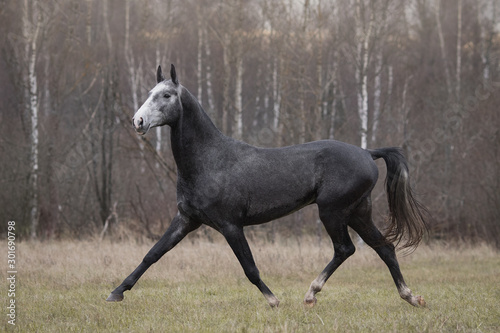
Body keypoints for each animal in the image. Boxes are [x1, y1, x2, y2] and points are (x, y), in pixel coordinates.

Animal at [107, 64, 428, 306]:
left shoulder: (230, 225)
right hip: (358, 213)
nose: (138, 121)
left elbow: (249, 267)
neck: (210, 161)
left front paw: (273, 300)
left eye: (166, 95)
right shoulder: (186, 220)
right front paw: (116, 292)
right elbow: (153, 254)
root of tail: (367, 153)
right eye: (150, 93)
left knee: (345, 249)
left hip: (333, 212)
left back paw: (311, 294)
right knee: (384, 248)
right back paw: (411, 297)